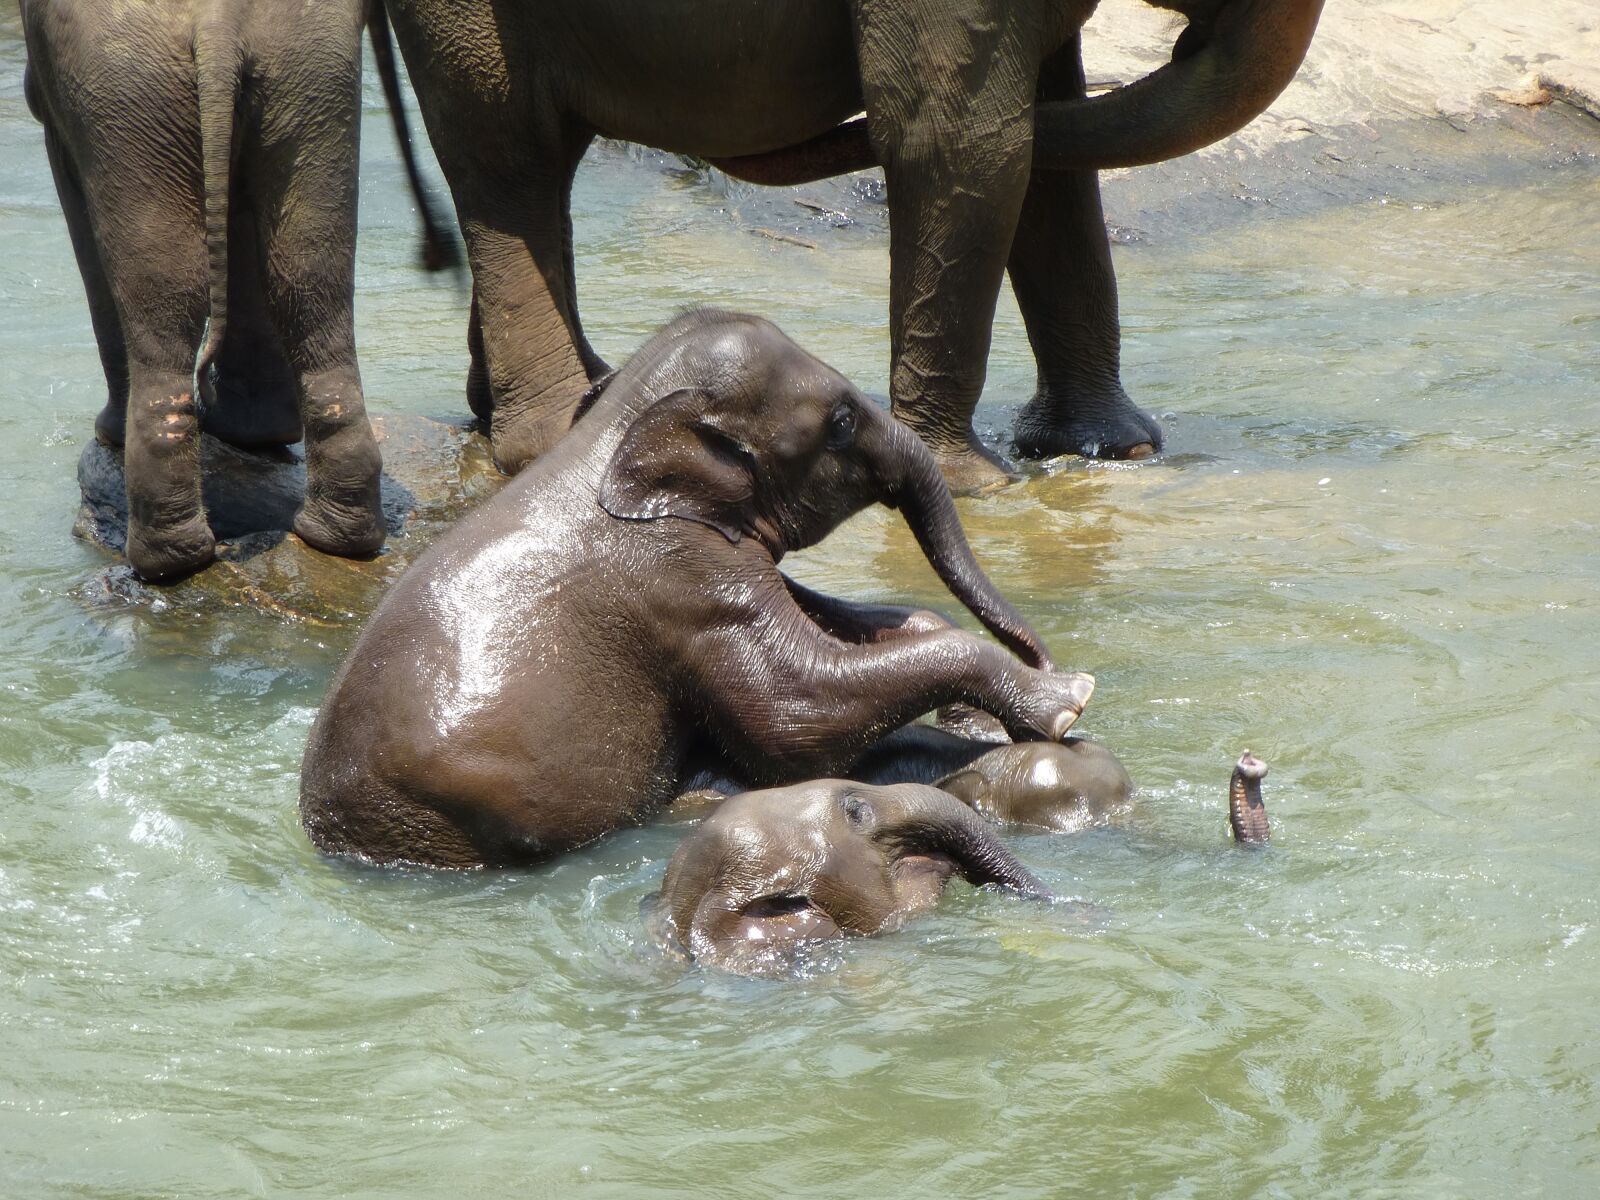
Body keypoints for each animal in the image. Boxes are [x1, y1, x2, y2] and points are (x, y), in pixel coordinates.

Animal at [300, 315, 1094, 870]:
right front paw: (1065, 701)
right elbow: (795, 718)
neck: (613, 431)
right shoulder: (679, 583)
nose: (1047, 657)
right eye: (839, 424)